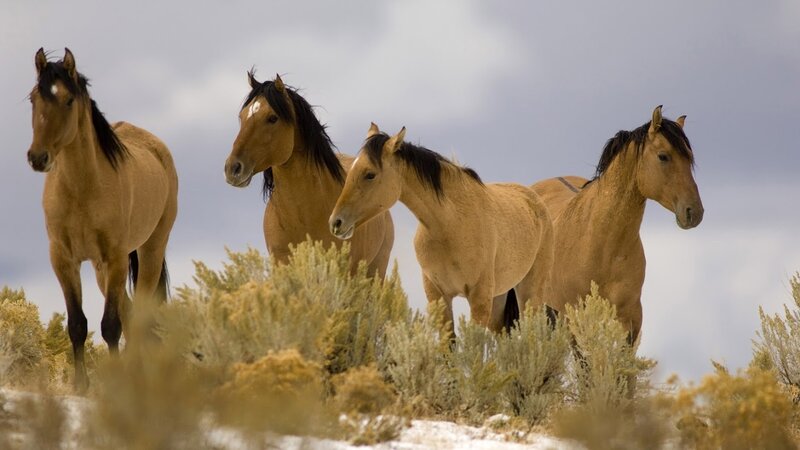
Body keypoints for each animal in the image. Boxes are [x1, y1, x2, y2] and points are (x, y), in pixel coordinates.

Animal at [26, 48, 178, 391]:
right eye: (33, 98)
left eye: (68, 99)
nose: (38, 157)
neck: (83, 189)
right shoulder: (64, 259)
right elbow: (77, 324)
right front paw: (81, 385)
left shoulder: (116, 257)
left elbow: (111, 325)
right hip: (100, 268)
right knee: (130, 312)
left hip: (149, 251)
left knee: (140, 316)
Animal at [329, 123, 554, 334]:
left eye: (370, 174)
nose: (336, 222)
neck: (450, 226)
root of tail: (535, 201)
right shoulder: (438, 295)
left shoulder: (478, 298)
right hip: (499, 297)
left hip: (529, 293)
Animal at [529, 105, 703, 344]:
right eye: (663, 156)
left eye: (689, 158)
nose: (694, 212)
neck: (601, 245)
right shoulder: (573, 319)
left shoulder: (630, 321)